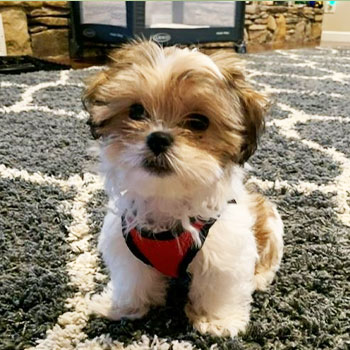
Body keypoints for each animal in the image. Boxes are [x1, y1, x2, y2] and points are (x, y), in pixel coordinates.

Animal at [83, 40, 284, 336]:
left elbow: (219, 284)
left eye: (199, 122)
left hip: (269, 225)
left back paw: (258, 279)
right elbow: (132, 278)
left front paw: (216, 319)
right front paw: (125, 307)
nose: (158, 138)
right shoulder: (125, 243)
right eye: (136, 111)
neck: (167, 197)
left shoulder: (224, 248)